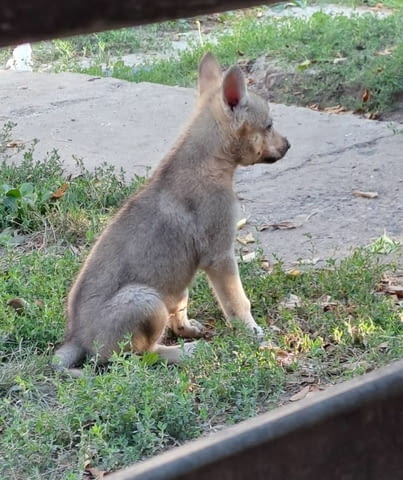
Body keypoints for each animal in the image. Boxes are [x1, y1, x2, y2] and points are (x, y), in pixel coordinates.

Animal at [52, 54, 290, 374]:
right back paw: (185, 353)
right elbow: (238, 303)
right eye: (269, 125)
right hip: (146, 301)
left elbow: (186, 304)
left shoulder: (190, 271)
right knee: (141, 356)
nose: (288, 145)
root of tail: (76, 339)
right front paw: (253, 333)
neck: (209, 164)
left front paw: (192, 328)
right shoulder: (220, 256)